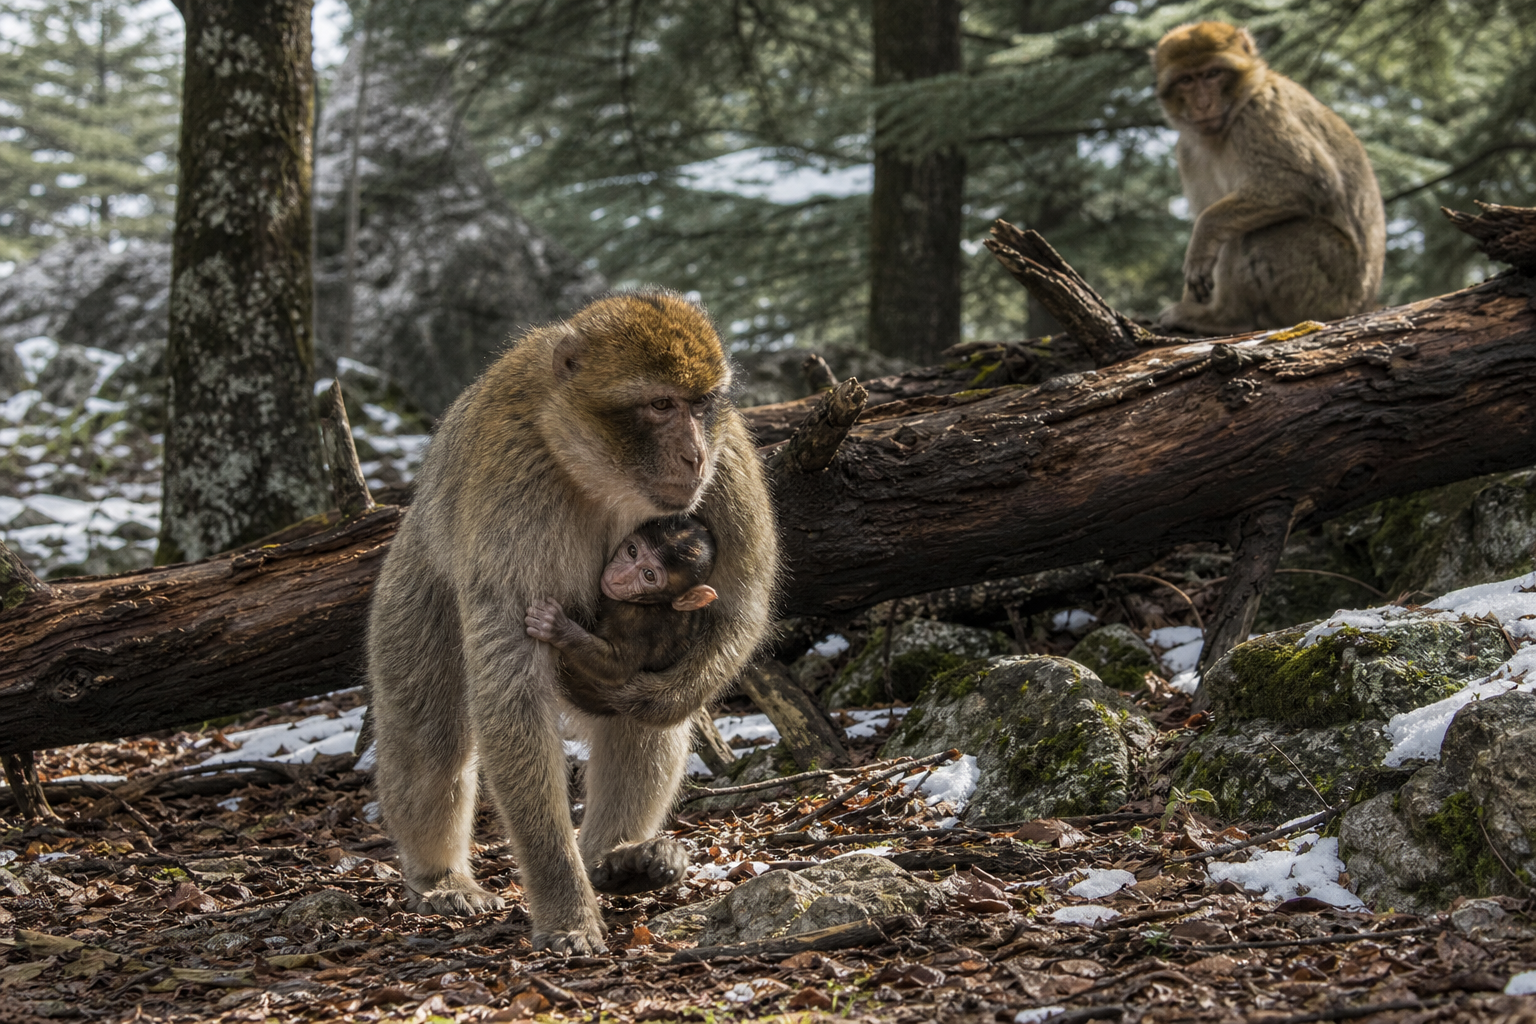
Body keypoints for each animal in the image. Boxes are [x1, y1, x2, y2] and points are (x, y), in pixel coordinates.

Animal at [525, 514, 719, 714]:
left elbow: (617, 668)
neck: (653, 603)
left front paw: (557, 628)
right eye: (632, 551)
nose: (618, 577)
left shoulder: (640, 624)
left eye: (649, 575)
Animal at [1152, 22, 1386, 336]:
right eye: (1186, 80)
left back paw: (1223, 318)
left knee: (1254, 232)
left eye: (1213, 74)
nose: (1202, 104)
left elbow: (1308, 182)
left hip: (1329, 283)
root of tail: (1363, 302)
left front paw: (1202, 238)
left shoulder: (1259, 114)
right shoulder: (1186, 151)